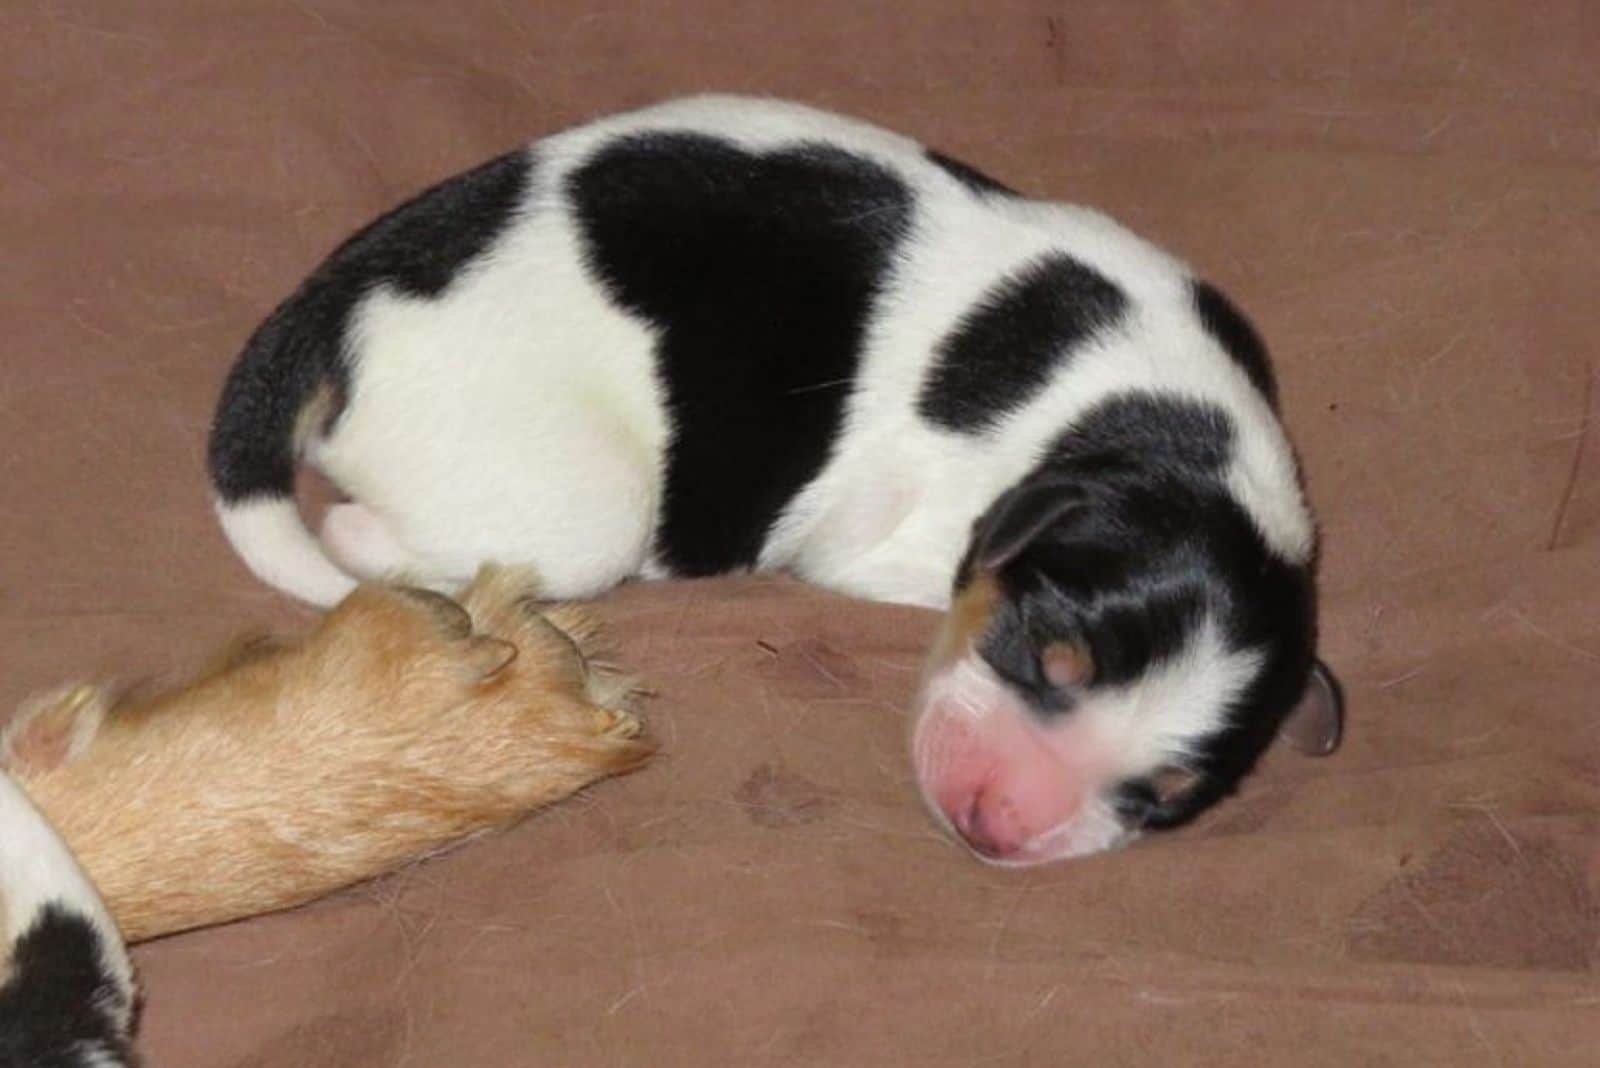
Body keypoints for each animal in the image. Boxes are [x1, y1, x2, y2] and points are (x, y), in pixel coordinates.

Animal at [209, 93, 1337, 869]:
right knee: (360, 532)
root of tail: (346, 294)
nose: (995, 826)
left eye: (1165, 795)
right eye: (1046, 657)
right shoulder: (895, 543)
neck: (1157, 428)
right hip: (584, 512)